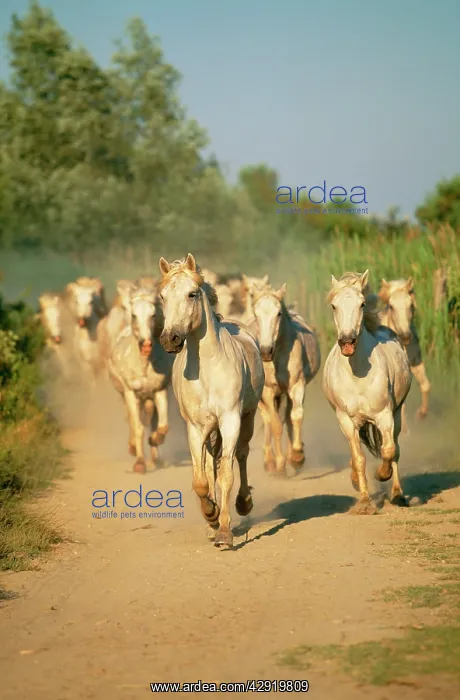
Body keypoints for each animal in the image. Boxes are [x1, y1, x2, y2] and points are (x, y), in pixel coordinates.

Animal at [158, 253, 265, 548]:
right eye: (162, 297)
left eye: (191, 294)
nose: (169, 339)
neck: (206, 369)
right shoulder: (196, 428)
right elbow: (201, 479)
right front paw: (211, 515)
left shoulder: (230, 420)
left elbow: (227, 472)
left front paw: (225, 533)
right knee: (209, 463)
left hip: (247, 419)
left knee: (240, 455)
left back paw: (243, 503)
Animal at [246, 281, 321, 473]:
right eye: (256, 313)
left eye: (278, 313)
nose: (265, 351)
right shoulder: (267, 391)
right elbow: (275, 424)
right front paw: (280, 464)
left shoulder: (296, 386)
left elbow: (295, 416)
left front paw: (297, 456)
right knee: (267, 419)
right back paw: (270, 461)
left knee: (287, 416)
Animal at [323, 271, 412, 513]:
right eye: (333, 305)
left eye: (362, 304)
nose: (347, 342)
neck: (358, 375)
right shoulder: (346, 420)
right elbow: (359, 458)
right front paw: (364, 502)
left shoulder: (385, 415)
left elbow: (388, 451)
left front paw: (382, 475)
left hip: (397, 414)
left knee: (395, 449)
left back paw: (397, 494)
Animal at [378, 278, 431, 429]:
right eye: (391, 306)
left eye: (410, 304)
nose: (405, 336)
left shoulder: (415, 364)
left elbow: (426, 385)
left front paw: (421, 414)